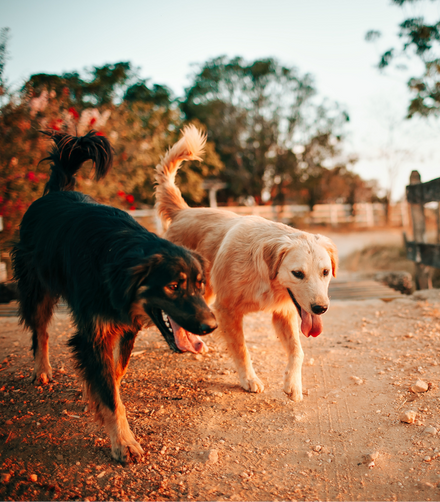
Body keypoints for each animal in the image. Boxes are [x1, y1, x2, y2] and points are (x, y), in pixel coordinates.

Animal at [13, 130, 218, 462]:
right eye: (173, 286)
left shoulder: (126, 327)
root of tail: (55, 193)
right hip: (37, 288)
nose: (212, 327)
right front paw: (123, 441)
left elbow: (115, 374)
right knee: (40, 331)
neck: (118, 260)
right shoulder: (94, 332)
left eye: (200, 285)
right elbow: (110, 394)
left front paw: (97, 394)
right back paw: (42, 370)